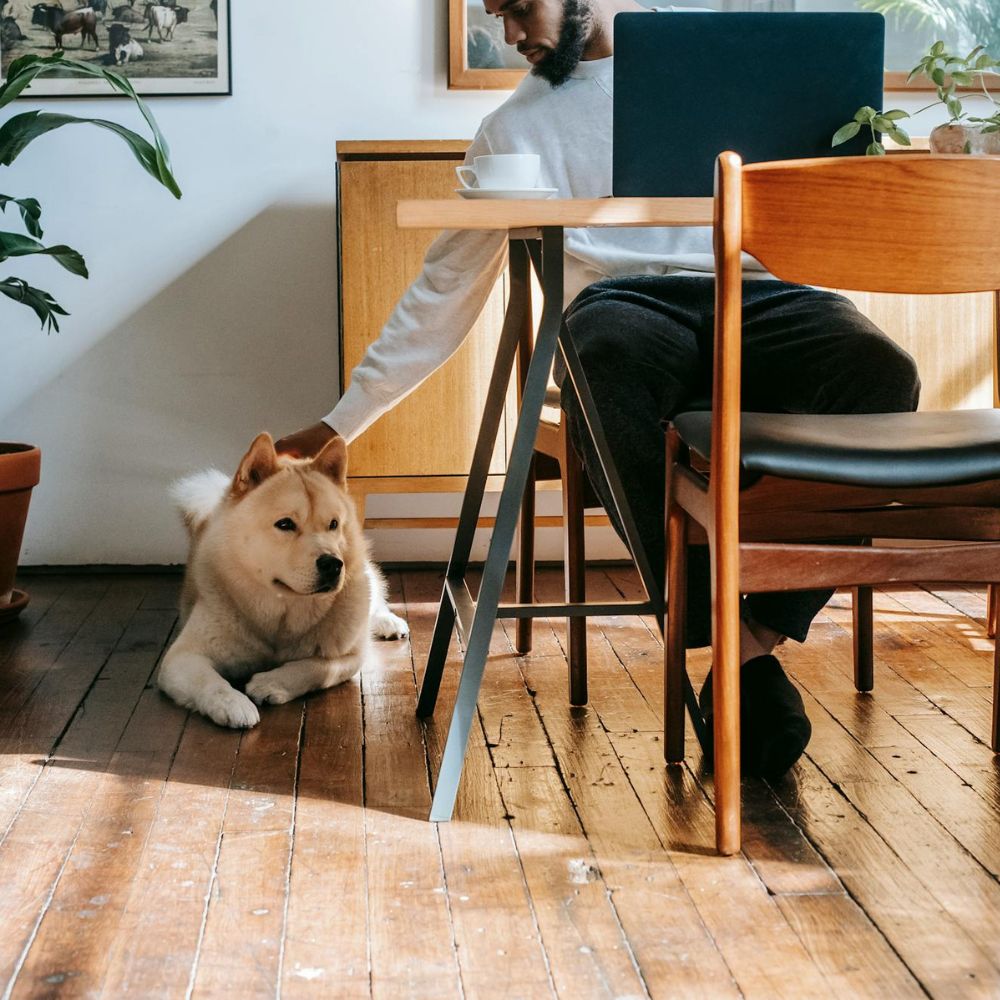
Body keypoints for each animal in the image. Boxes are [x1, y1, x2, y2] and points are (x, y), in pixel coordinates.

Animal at [156, 430, 406, 728]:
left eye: (333, 524)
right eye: (285, 524)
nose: (333, 564)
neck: (281, 612)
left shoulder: (350, 657)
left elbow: (316, 667)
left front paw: (271, 682)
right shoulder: (182, 657)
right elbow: (210, 681)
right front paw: (233, 703)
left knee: (375, 598)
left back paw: (388, 621)